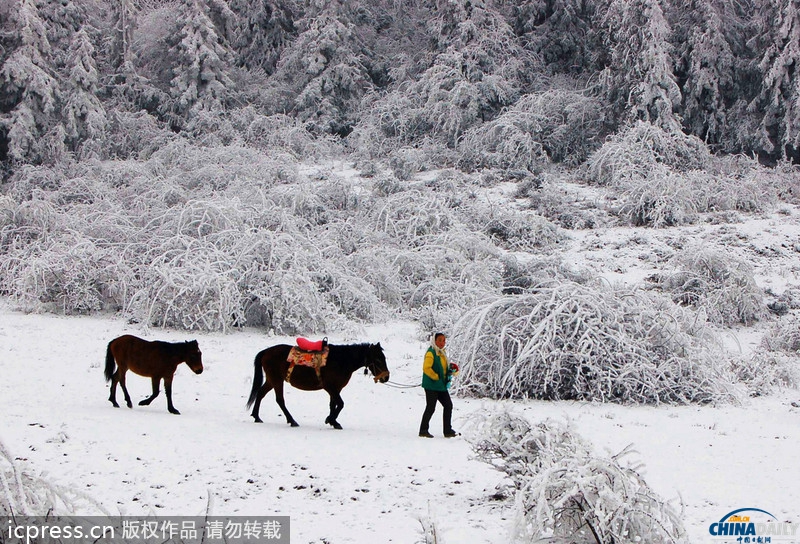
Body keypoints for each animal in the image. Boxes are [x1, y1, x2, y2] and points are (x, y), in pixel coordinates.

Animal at [247, 344, 390, 430]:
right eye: (378, 359)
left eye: (384, 358)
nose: (386, 377)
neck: (341, 360)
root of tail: (266, 351)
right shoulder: (329, 387)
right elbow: (341, 404)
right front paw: (330, 419)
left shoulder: (336, 388)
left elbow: (333, 405)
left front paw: (333, 421)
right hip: (276, 380)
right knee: (280, 400)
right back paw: (292, 421)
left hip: (271, 380)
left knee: (260, 393)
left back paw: (256, 417)